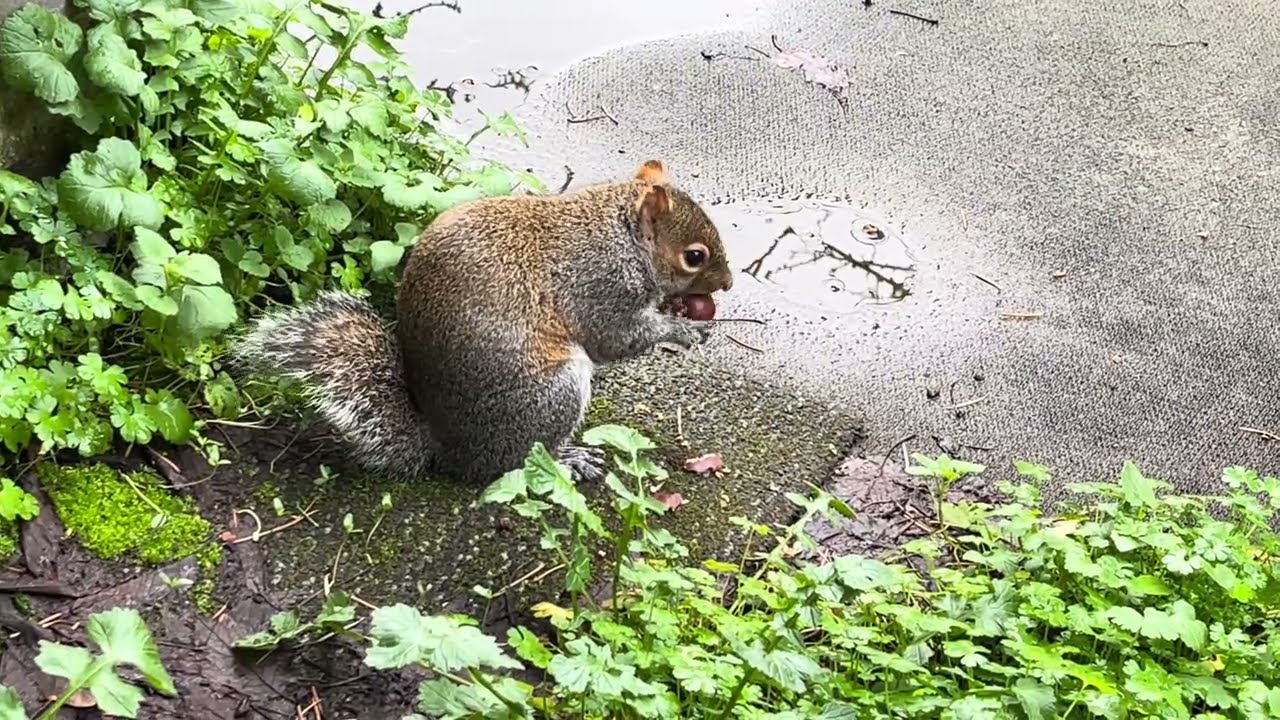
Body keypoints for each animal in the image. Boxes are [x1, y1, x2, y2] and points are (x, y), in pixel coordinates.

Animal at [230, 160, 734, 485]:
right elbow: (617, 339)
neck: (621, 235)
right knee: (516, 463)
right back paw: (568, 459)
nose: (727, 284)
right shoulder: (602, 286)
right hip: (552, 393)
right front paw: (683, 331)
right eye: (694, 256)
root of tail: (449, 448)